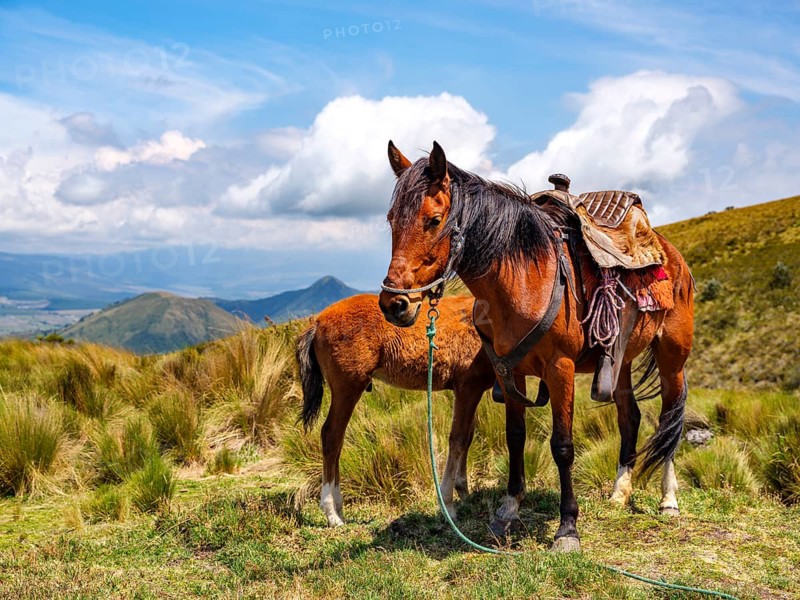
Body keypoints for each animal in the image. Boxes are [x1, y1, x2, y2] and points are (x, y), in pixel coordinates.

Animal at [296, 293, 496, 526]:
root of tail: (317, 323)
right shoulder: (468, 387)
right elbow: (458, 439)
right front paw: (449, 506)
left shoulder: (471, 391)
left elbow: (468, 437)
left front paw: (464, 491)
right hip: (347, 388)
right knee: (331, 436)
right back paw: (331, 513)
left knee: (337, 440)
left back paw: (338, 508)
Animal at [378, 141, 694, 551]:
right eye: (390, 220)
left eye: (433, 220)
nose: (394, 304)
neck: (522, 278)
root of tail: (670, 254)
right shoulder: (508, 371)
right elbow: (515, 438)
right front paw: (507, 511)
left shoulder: (560, 369)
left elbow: (562, 446)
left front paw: (568, 528)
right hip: (620, 361)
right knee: (630, 417)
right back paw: (619, 492)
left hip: (672, 359)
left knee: (670, 418)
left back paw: (668, 499)